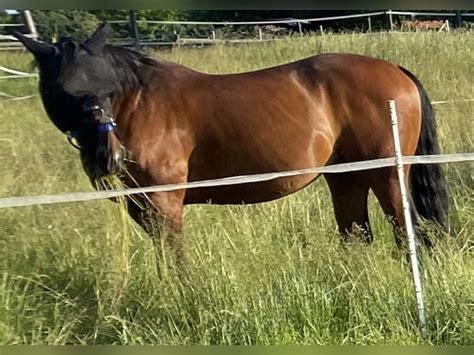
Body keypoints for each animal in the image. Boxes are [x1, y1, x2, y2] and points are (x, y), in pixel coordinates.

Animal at [12, 23, 448, 262]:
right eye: (65, 91)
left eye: (106, 86)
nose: (109, 156)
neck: (139, 104)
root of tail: (396, 71)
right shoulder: (141, 207)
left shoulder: (164, 204)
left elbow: (175, 261)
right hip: (345, 177)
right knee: (356, 234)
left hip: (386, 176)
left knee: (408, 233)